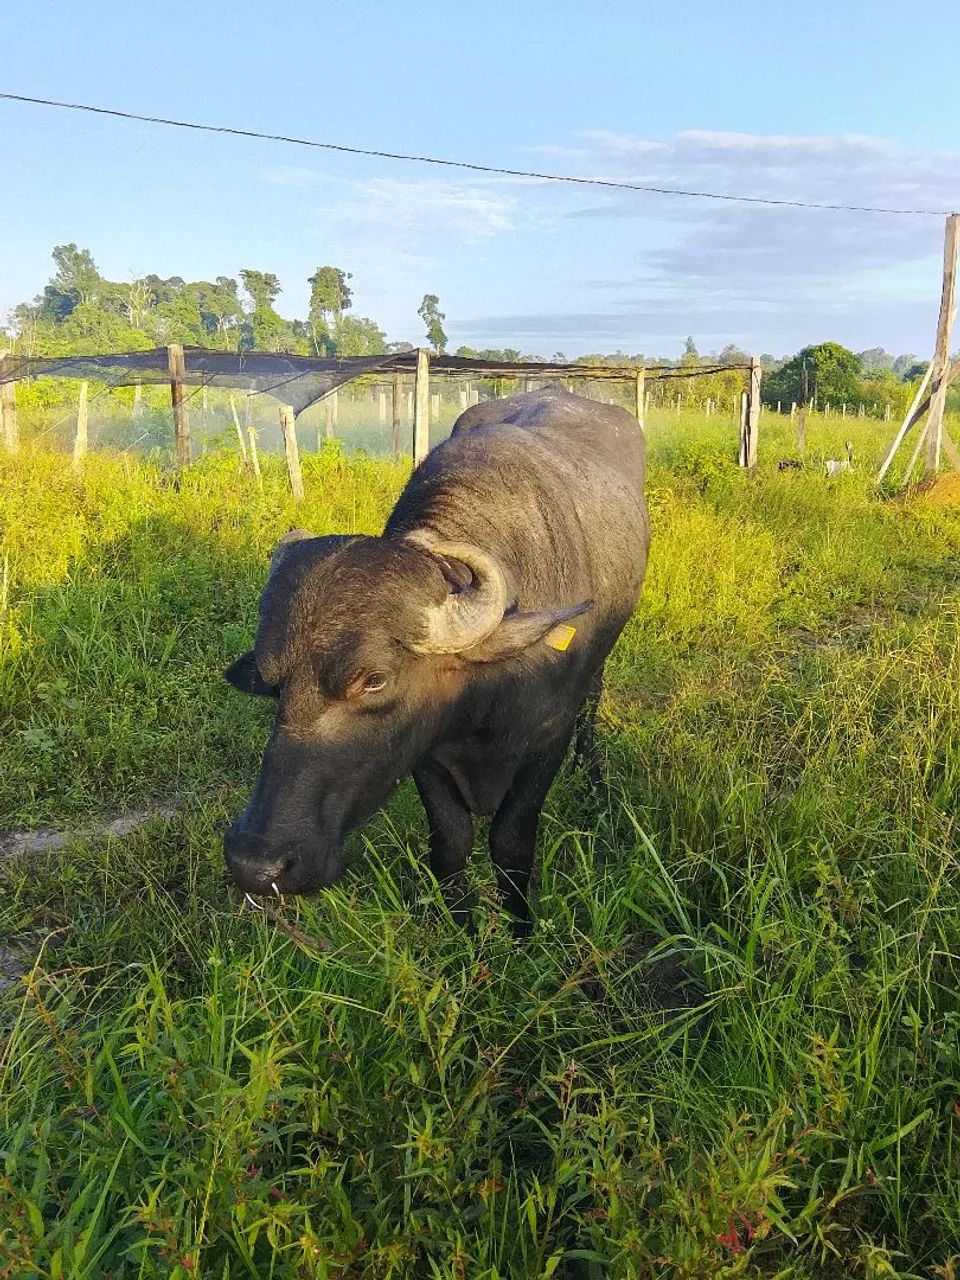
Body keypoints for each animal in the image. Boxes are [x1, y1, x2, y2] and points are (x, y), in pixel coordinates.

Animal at [224, 387, 648, 926]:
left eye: (374, 680)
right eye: (273, 683)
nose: (254, 864)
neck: (484, 699)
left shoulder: (547, 740)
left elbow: (511, 843)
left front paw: (520, 927)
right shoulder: (425, 753)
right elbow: (451, 842)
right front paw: (461, 924)